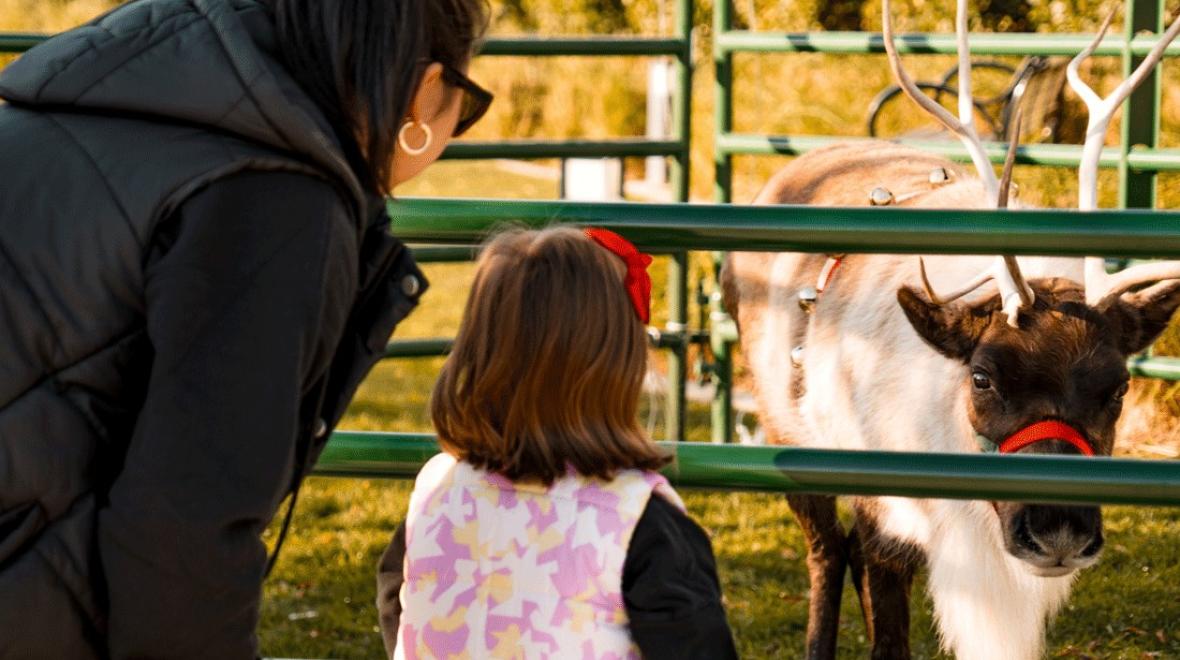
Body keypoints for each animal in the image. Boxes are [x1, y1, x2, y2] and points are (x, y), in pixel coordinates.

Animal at [720, 2, 1180, 658]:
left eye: (1118, 387)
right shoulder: (883, 509)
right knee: (827, 551)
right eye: (982, 377)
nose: (1058, 532)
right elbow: (887, 634)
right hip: (789, 432)